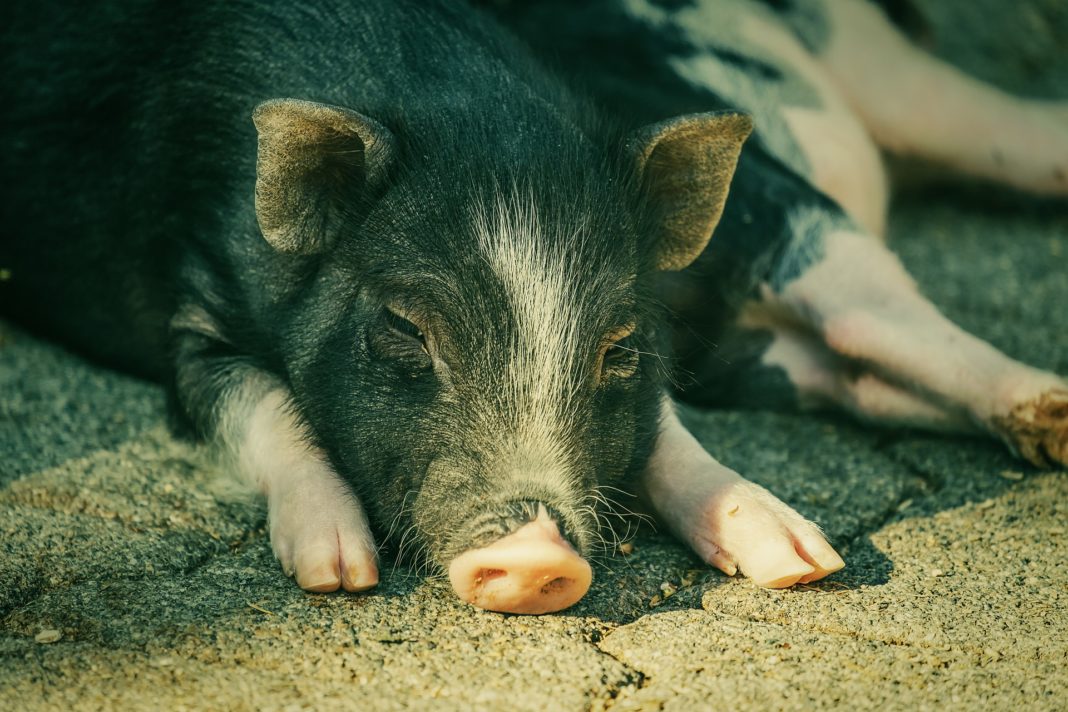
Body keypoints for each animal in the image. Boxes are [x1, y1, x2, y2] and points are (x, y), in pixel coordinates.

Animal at [1, 0, 1064, 616]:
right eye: (404, 328)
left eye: (616, 346)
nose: (540, 556)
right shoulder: (185, 308)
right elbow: (258, 405)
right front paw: (337, 572)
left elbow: (661, 425)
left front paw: (800, 561)